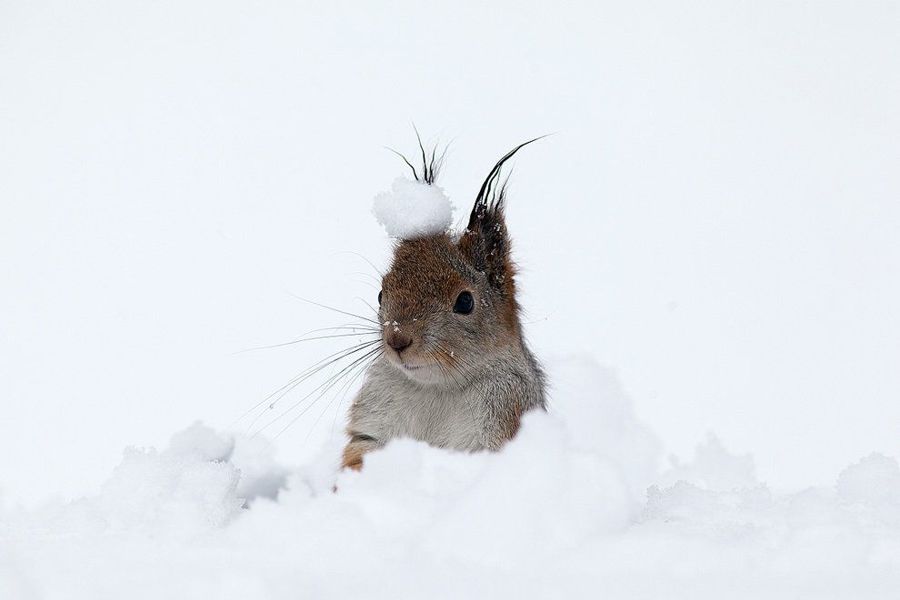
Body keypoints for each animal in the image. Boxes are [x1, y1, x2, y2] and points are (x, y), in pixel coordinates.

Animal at [340, 138, 544, 472]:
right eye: (381, 294)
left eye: (465, 301)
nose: (397, 339)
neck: (438, 387)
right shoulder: (374, 424)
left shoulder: (502, 416)